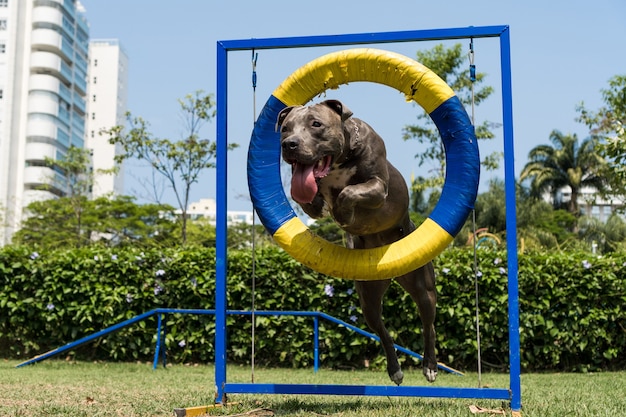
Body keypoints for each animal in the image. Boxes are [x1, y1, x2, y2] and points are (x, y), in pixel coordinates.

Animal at [276, 98, 436, 384]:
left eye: (316, 124)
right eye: (285, 128)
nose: (289, 144)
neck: (340, 159)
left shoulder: (378, 186)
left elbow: (349, 192)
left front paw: (342, 212)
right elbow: (307, 199)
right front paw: (322, 204)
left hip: (422, 285)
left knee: (428, 324)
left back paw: (430, 366)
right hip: (368, 297)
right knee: (381, 328)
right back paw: (395, 369)